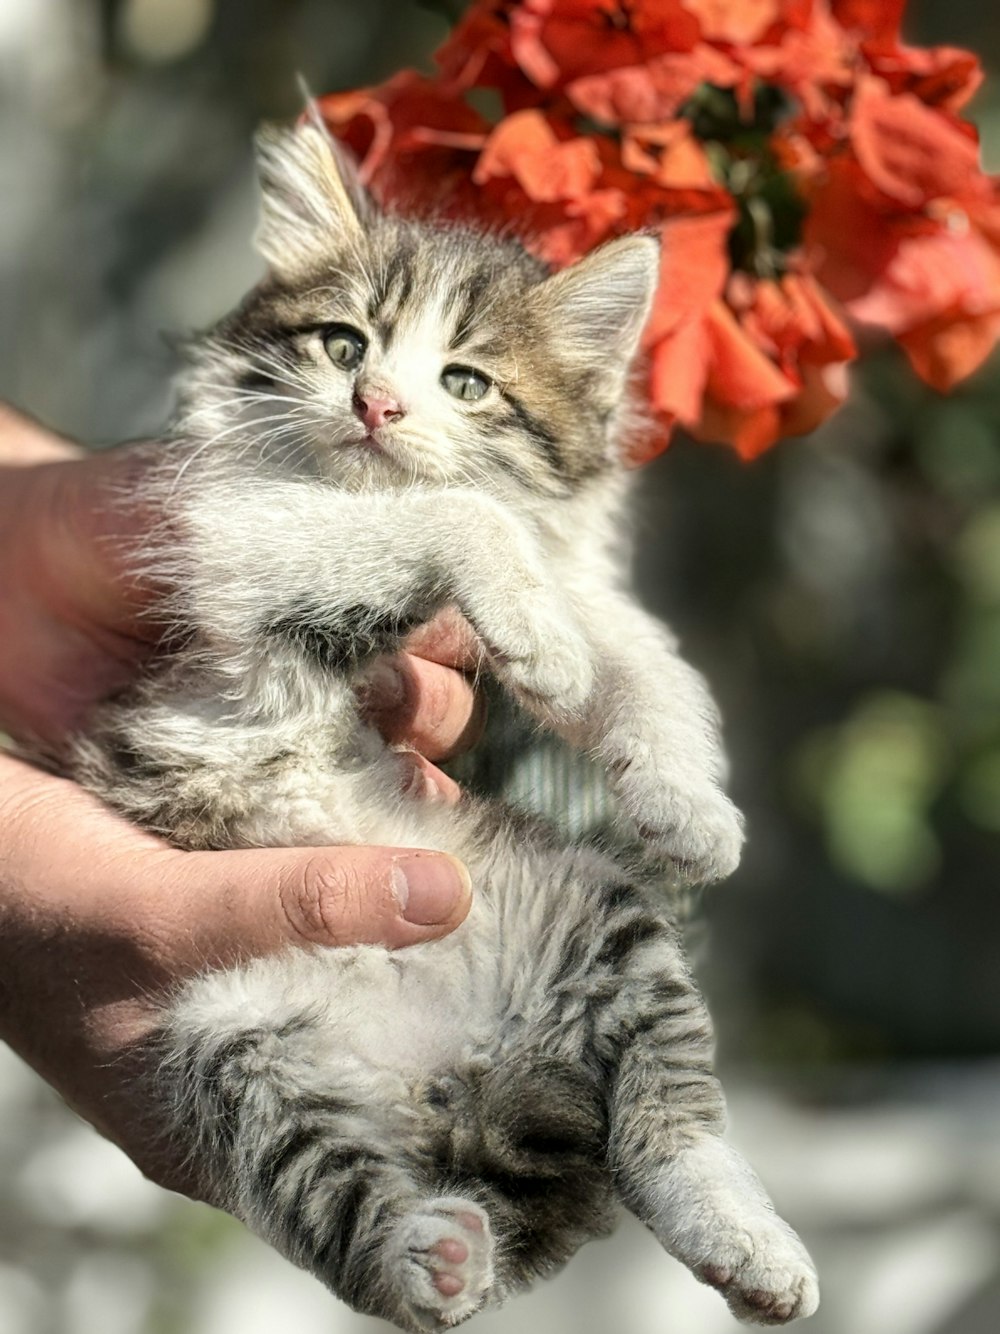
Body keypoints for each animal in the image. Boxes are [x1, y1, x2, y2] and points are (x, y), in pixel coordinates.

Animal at [70, 120, 821, 1328]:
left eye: (466, 381)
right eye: (343, 345)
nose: (377, 405)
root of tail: (449, 1069)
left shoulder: (577, 578)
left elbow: (647, 658)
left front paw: (686, 804)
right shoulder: (234, 537)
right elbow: (455, 512)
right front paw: (539, 636)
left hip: (603, 923)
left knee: (667, 1117)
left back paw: (744, 1241)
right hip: (237, 1047)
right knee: (328, 1190)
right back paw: (432, 1252)